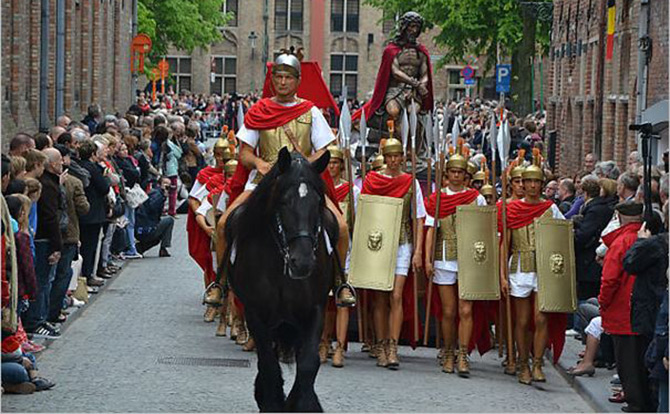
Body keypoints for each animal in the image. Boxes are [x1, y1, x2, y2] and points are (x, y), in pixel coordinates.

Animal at [223, 148, 338, 410]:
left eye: (317, 202)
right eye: (284, 201)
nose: (303, 261)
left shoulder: (314, 310)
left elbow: (308, 363)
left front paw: (303, 403)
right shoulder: (256, 313)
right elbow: (268, 365)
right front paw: (273, 401)